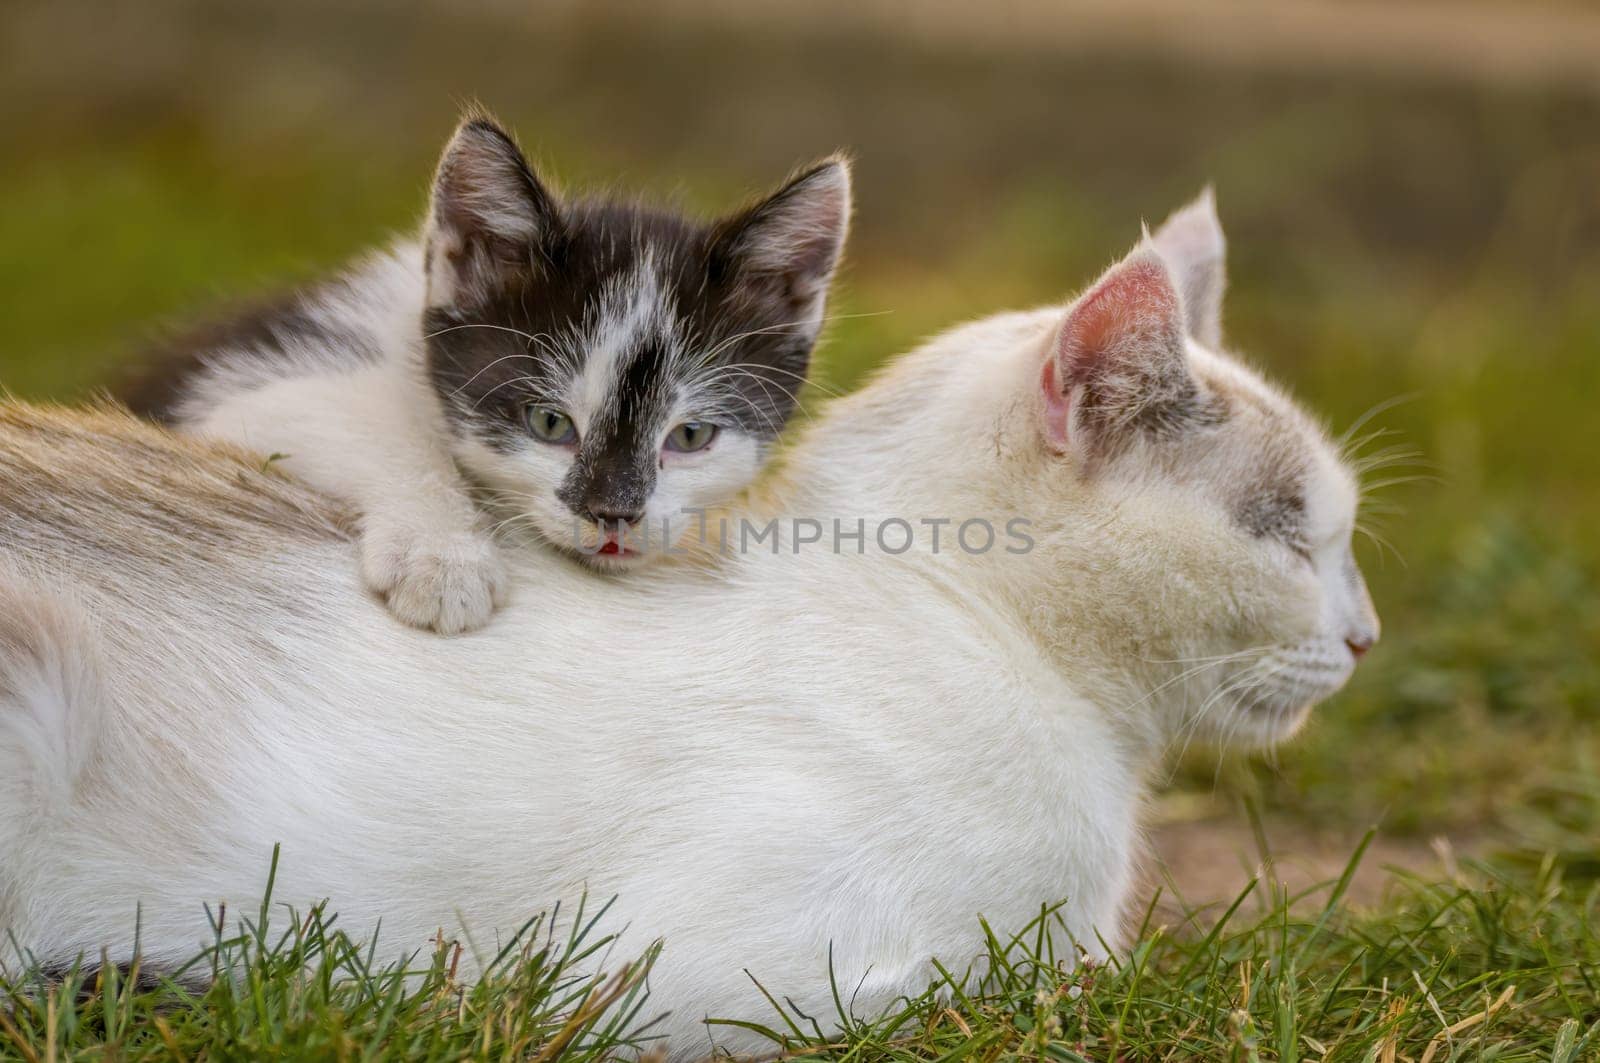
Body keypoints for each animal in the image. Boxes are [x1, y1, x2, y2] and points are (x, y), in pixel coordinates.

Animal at [123, 114, 851, 630]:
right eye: (549, 422)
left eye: (692, 437)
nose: (613, 516)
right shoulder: (239, 377)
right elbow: (357, 417)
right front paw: (442, 554)